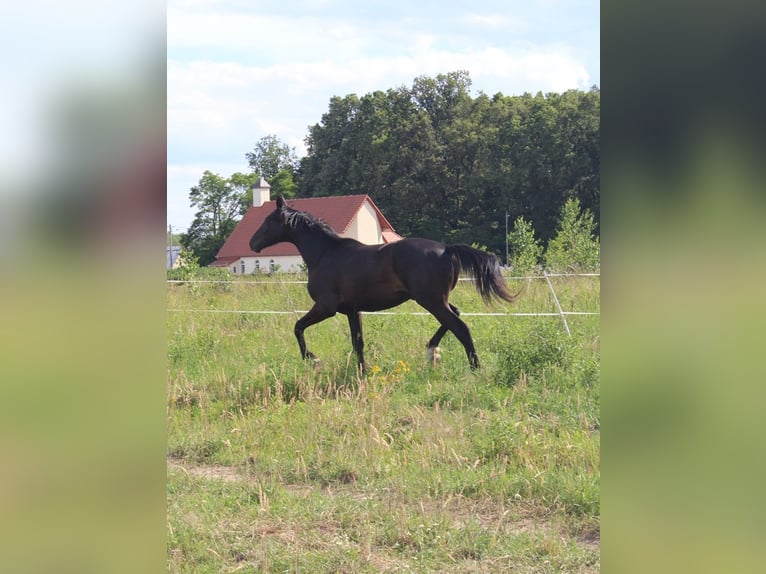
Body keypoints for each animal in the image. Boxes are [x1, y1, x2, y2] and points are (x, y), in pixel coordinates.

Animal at [249, 195, 520, 374]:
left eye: (268, 220)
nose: (252, 243)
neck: (325, 253)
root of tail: (446, 249)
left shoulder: (326, 307)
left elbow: (298, 327)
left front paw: (313, 359)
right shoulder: (352, 310)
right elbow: (357, 342)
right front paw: (362, 372)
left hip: (431, 300)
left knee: (460, 327)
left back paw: (473, 368)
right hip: (436, 300)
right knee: (455, 316)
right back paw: (432, 351)